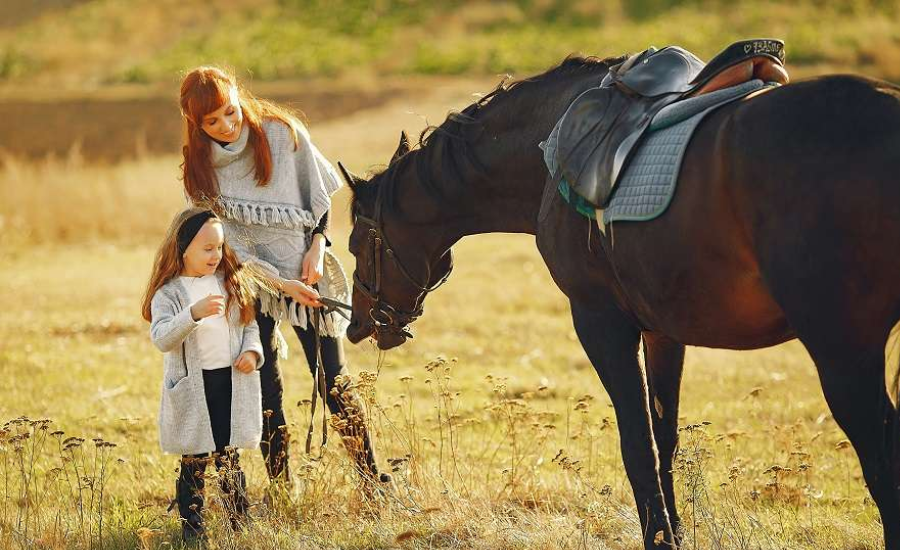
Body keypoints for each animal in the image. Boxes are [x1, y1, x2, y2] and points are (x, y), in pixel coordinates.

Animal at [340, 57, 900, 550]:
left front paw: (659, 537)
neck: (548, 149)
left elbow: (637, 444)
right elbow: (664, 438)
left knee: (880, 454)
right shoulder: (662, 332)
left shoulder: (600, 322)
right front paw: (674, 531)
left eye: (355, 243)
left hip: (841, 350)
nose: (358, 326)